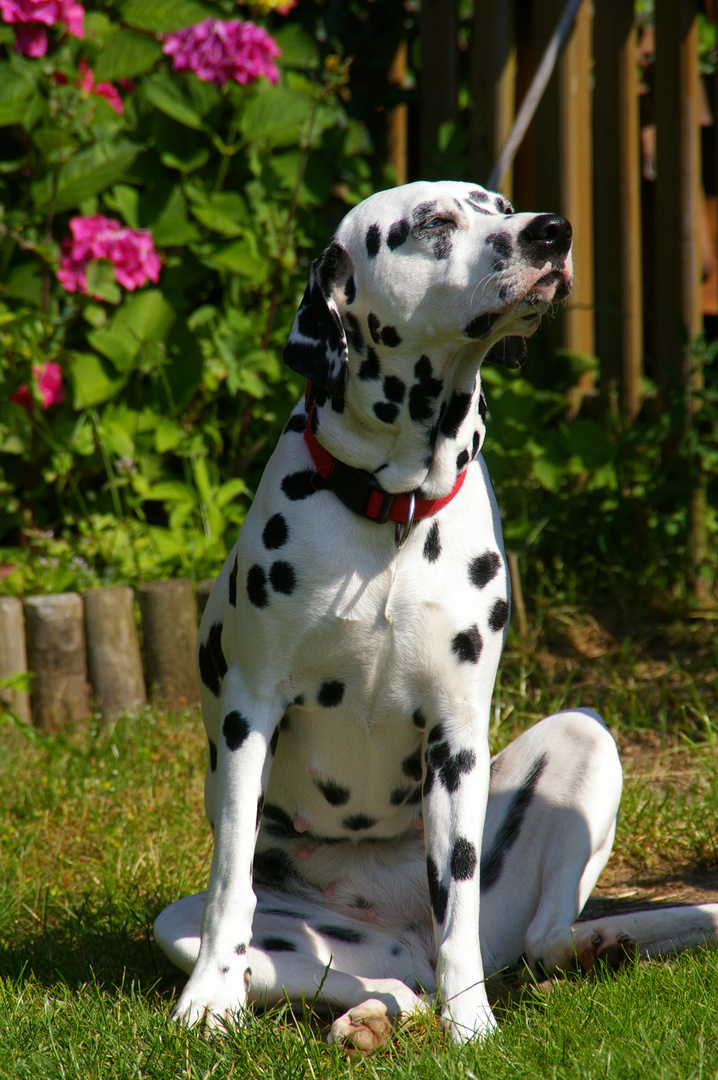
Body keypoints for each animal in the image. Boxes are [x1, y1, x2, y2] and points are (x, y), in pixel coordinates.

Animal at [155, 183, 716, 1045]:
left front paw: (474, 1025)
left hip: (584, 737)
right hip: (217, 929)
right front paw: (208, 1002)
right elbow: (229, 887)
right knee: (372, 975)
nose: (552, 232)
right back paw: (367, 1019)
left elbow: (457, 904)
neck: (395, 511)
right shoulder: (250, 714)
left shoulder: (455, 736)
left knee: (522, 942)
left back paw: (567, 956)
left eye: (502, 205)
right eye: (433, 224)